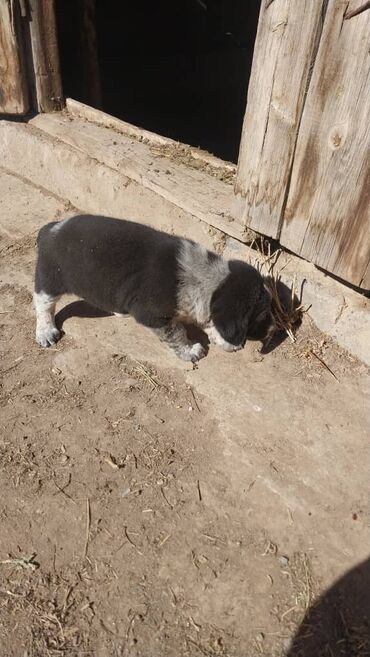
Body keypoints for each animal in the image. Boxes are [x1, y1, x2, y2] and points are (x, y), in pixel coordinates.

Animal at [33, 214, 274, 358]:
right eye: (262, 315)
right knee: (43, 305)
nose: (272, 331)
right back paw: (45, 331)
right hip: (50, 280)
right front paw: (191, 351)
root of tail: (50, 229)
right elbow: (177, 333)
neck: (207, 278)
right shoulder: (155, 316)